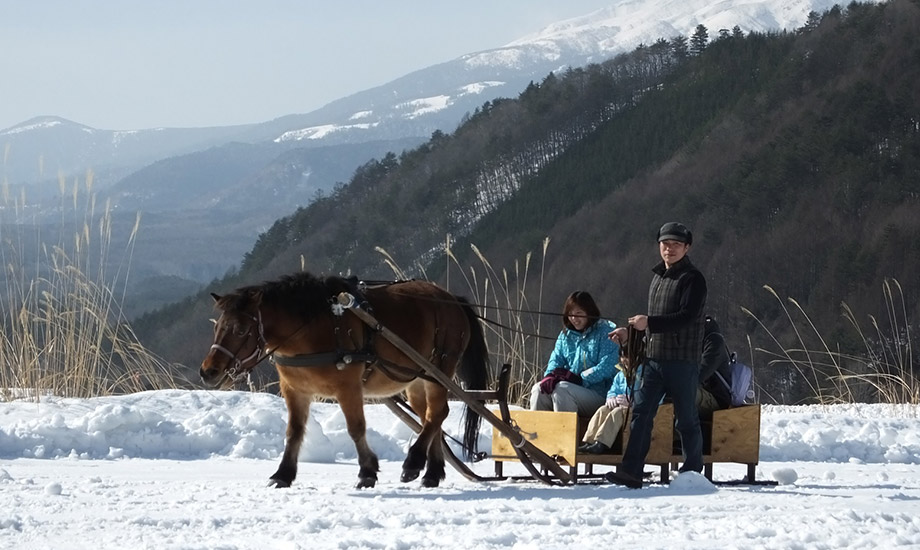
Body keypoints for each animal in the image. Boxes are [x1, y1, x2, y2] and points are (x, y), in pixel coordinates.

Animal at [199, 274, 492, 490]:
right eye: (216, 327)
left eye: (240, 330)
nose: (208, 371)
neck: (314, 328)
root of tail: (452, 299)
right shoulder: (295, 390)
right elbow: (294, 432)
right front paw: (283, 474)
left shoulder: (348, 387)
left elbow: (356, 428)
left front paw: (367, 472)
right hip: (417, 378)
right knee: (430, 418)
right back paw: (431, 472)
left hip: (440, 369)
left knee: (437, 413)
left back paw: (413, 462)